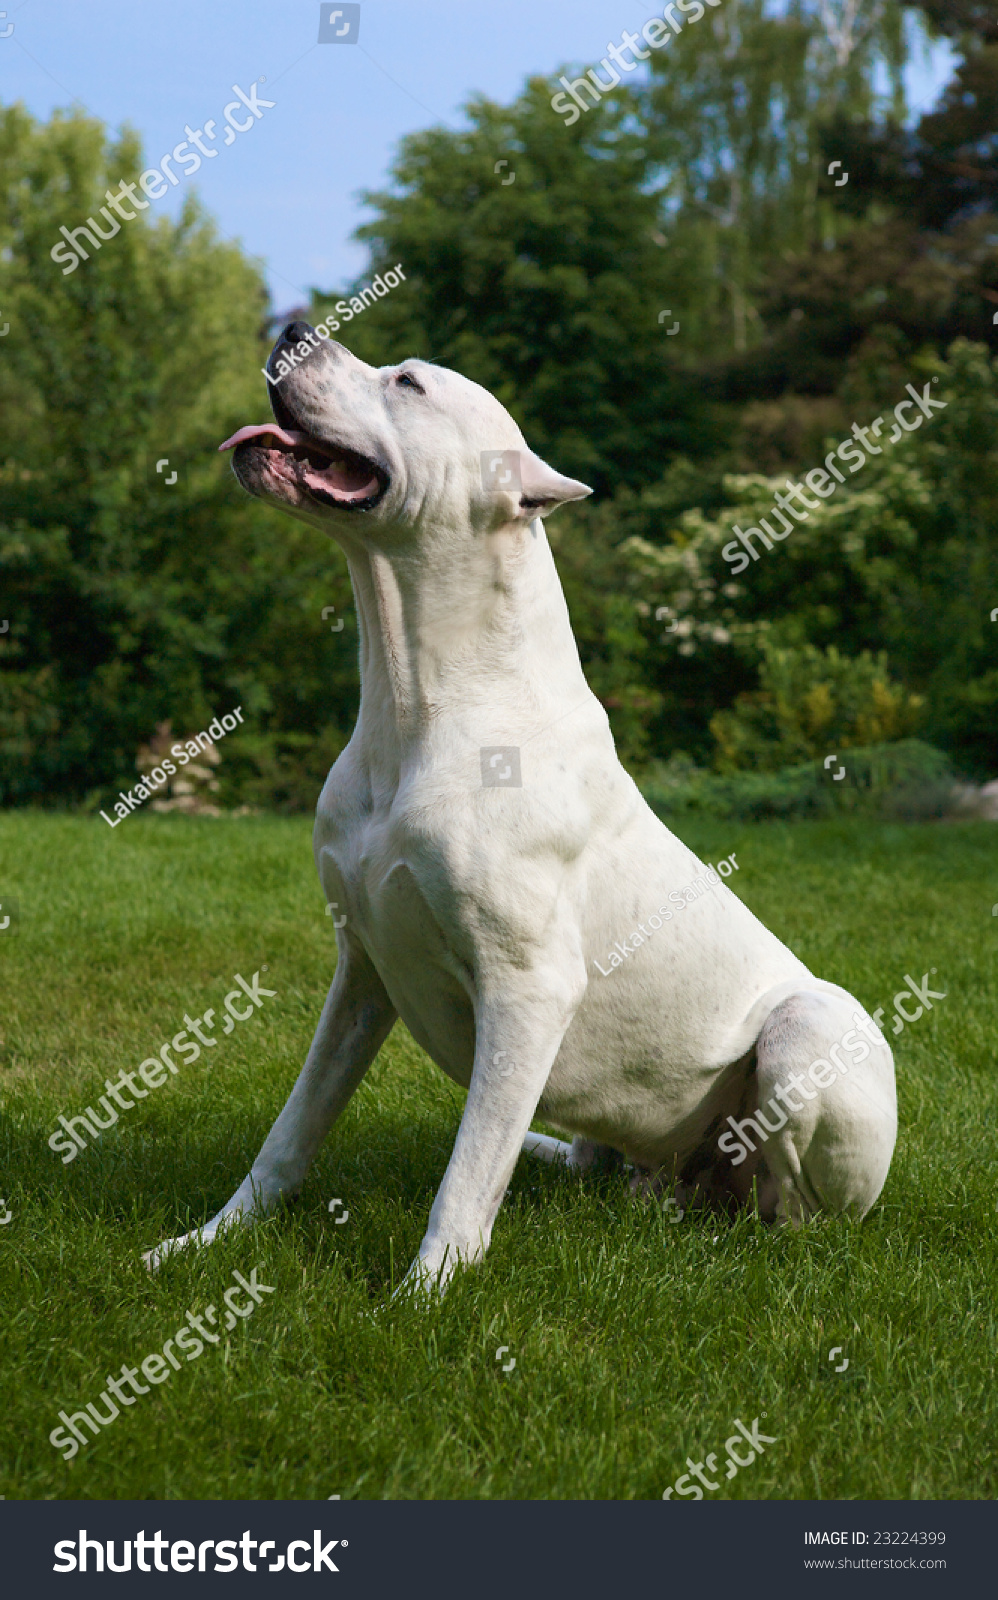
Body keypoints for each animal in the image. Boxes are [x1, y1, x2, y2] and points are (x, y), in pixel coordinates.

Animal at [143, 331, 902, 1292]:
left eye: (408, 382)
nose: (289, 332)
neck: (419, 697)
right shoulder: (362, 971)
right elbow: (294, 1128)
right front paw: (208, 1241)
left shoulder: (527, 989)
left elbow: (467, 1174)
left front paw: (424, 1294)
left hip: (811, 1029)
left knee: (791, 1214)